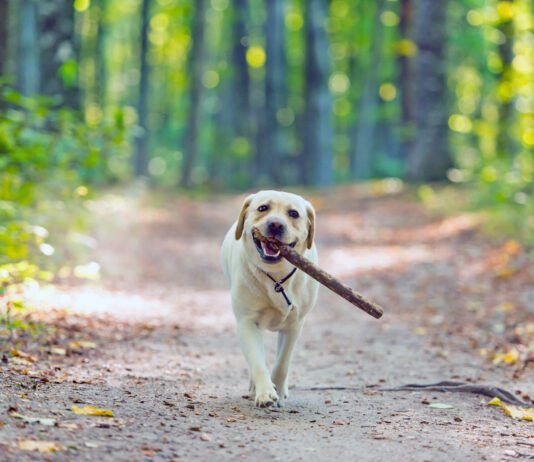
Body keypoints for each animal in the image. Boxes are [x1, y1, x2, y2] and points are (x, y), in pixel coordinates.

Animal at [221, 189, 318, 406]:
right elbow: (257, 361)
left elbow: (282, 363)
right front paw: (265, 392)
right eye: (263, 208)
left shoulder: (294, 325)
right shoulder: (247, 322)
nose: (275, 224)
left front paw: (279, 391)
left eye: (293, 214)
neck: (276, 277)